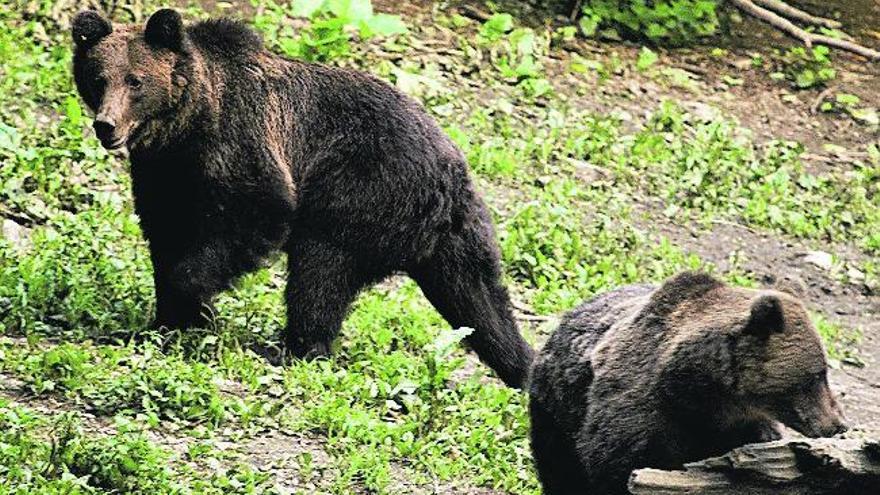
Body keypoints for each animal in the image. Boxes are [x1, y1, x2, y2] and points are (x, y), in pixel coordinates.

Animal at [70, 8, 536, 388]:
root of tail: (450, 170)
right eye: (98, 79)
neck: (187, 125)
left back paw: (295, 347)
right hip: (459, 237)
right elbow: (166, 233)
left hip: (361, 191)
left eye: (135, 80)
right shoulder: (166, 175)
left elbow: (258, 214)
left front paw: (194, 304)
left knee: (320, 270)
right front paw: (169, 321)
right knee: (479, 299)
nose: (106, 125)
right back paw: (523, 366)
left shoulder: (243, 146)